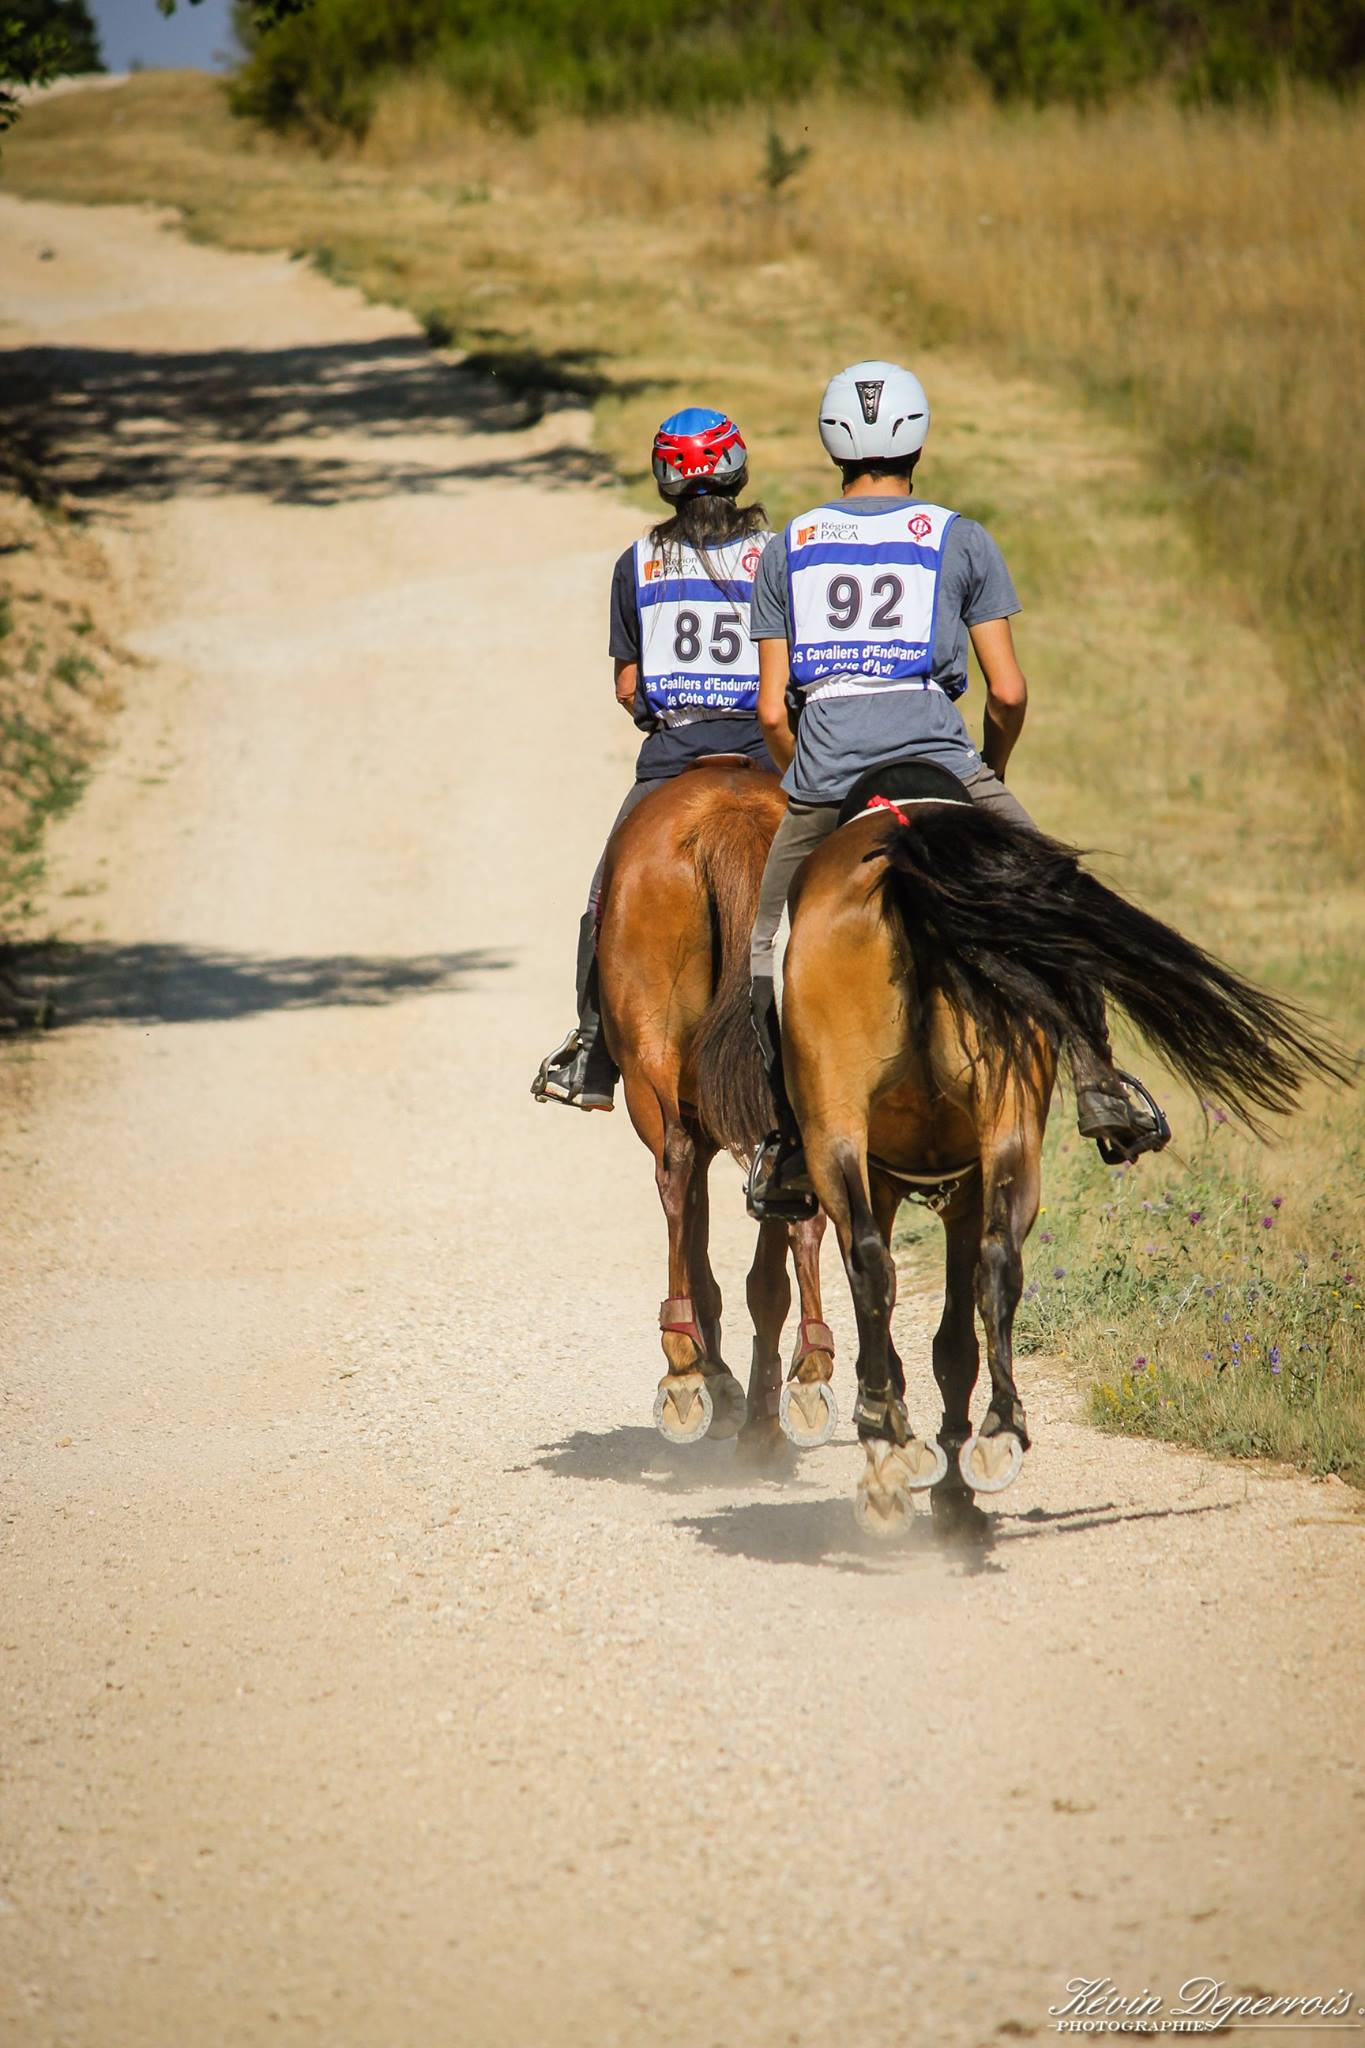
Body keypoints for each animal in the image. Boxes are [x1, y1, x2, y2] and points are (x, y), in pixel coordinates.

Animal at [601, 765, 843, 1458]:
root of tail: (730, 821)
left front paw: (719, 1378)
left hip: (650, 1072)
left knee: (676, 1169)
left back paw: (685, 1368)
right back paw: (806, 1375)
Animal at [777, 761, 1342, 1531]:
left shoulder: (924, 1185)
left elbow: (940, 1339)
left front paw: (923, 1472)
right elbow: (941, 1334)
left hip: (912, 1127)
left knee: (907, 1266)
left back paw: (924, 1434)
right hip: (978, 1127)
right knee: (974, 1261)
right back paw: (976, 1434)